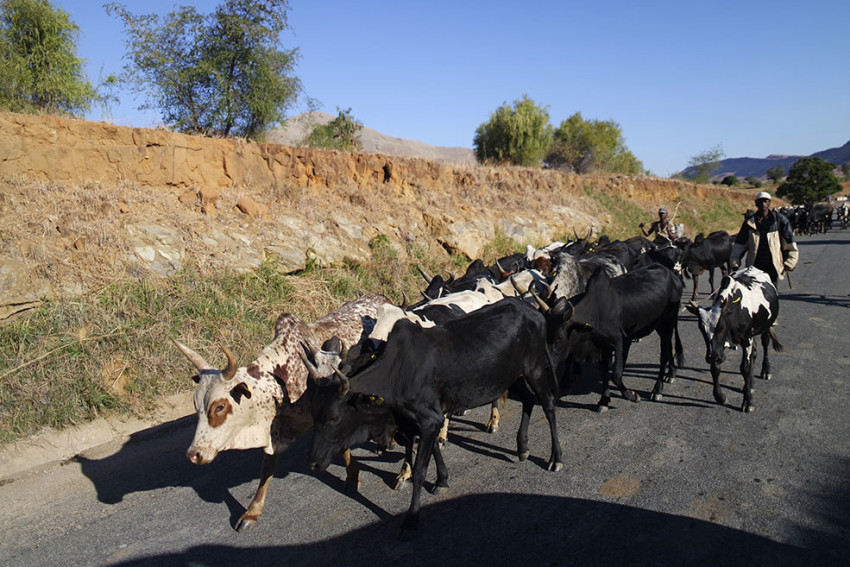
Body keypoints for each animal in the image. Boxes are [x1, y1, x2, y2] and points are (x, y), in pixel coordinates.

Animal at [173, 296, 390, 532]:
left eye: (220, 406)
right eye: (196, 406)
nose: (194, 454)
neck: (283, 379)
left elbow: (343, 446)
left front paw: (352, 478)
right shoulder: (275, 431)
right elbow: (267, 469)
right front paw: (252, 512)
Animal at [304, 302, 564, 532]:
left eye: (334, 417)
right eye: (314, 414)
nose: (313, 463)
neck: (397, 372)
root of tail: (533, 312)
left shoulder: (429, 419)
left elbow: (420, 468)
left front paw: (412, 519)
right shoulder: (423, 419)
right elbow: (433, 450)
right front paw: (442, 480)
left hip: (535, 370)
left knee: (548, 405)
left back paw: (556, 458)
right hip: (511, 377)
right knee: (528, 400)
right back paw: (522, 447)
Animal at [540, 264, 684, 410]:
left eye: (559, 339)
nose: (546, 367)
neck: (596, 311)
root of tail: (673, 276)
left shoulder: (622, 341)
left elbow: (616, 375)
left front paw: (632, 395)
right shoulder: (602, 347)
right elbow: (604, 373)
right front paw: (604, 401)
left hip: (667, 323)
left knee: (664, 355)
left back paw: (658, 389)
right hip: (661, 327)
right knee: (668, 348)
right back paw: (671, 374)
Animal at [684, 266, 780, 412]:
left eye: (721, 326)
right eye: (701, 327)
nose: (712, 356)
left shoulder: (746, 340)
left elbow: (745, 368)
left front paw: (748, 401)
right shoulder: (717, 349)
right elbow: (715, 368)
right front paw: (720, 397)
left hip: (766, 326)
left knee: (765, 343)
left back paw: (765, 371)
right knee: (754, 352)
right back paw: (750, 383)